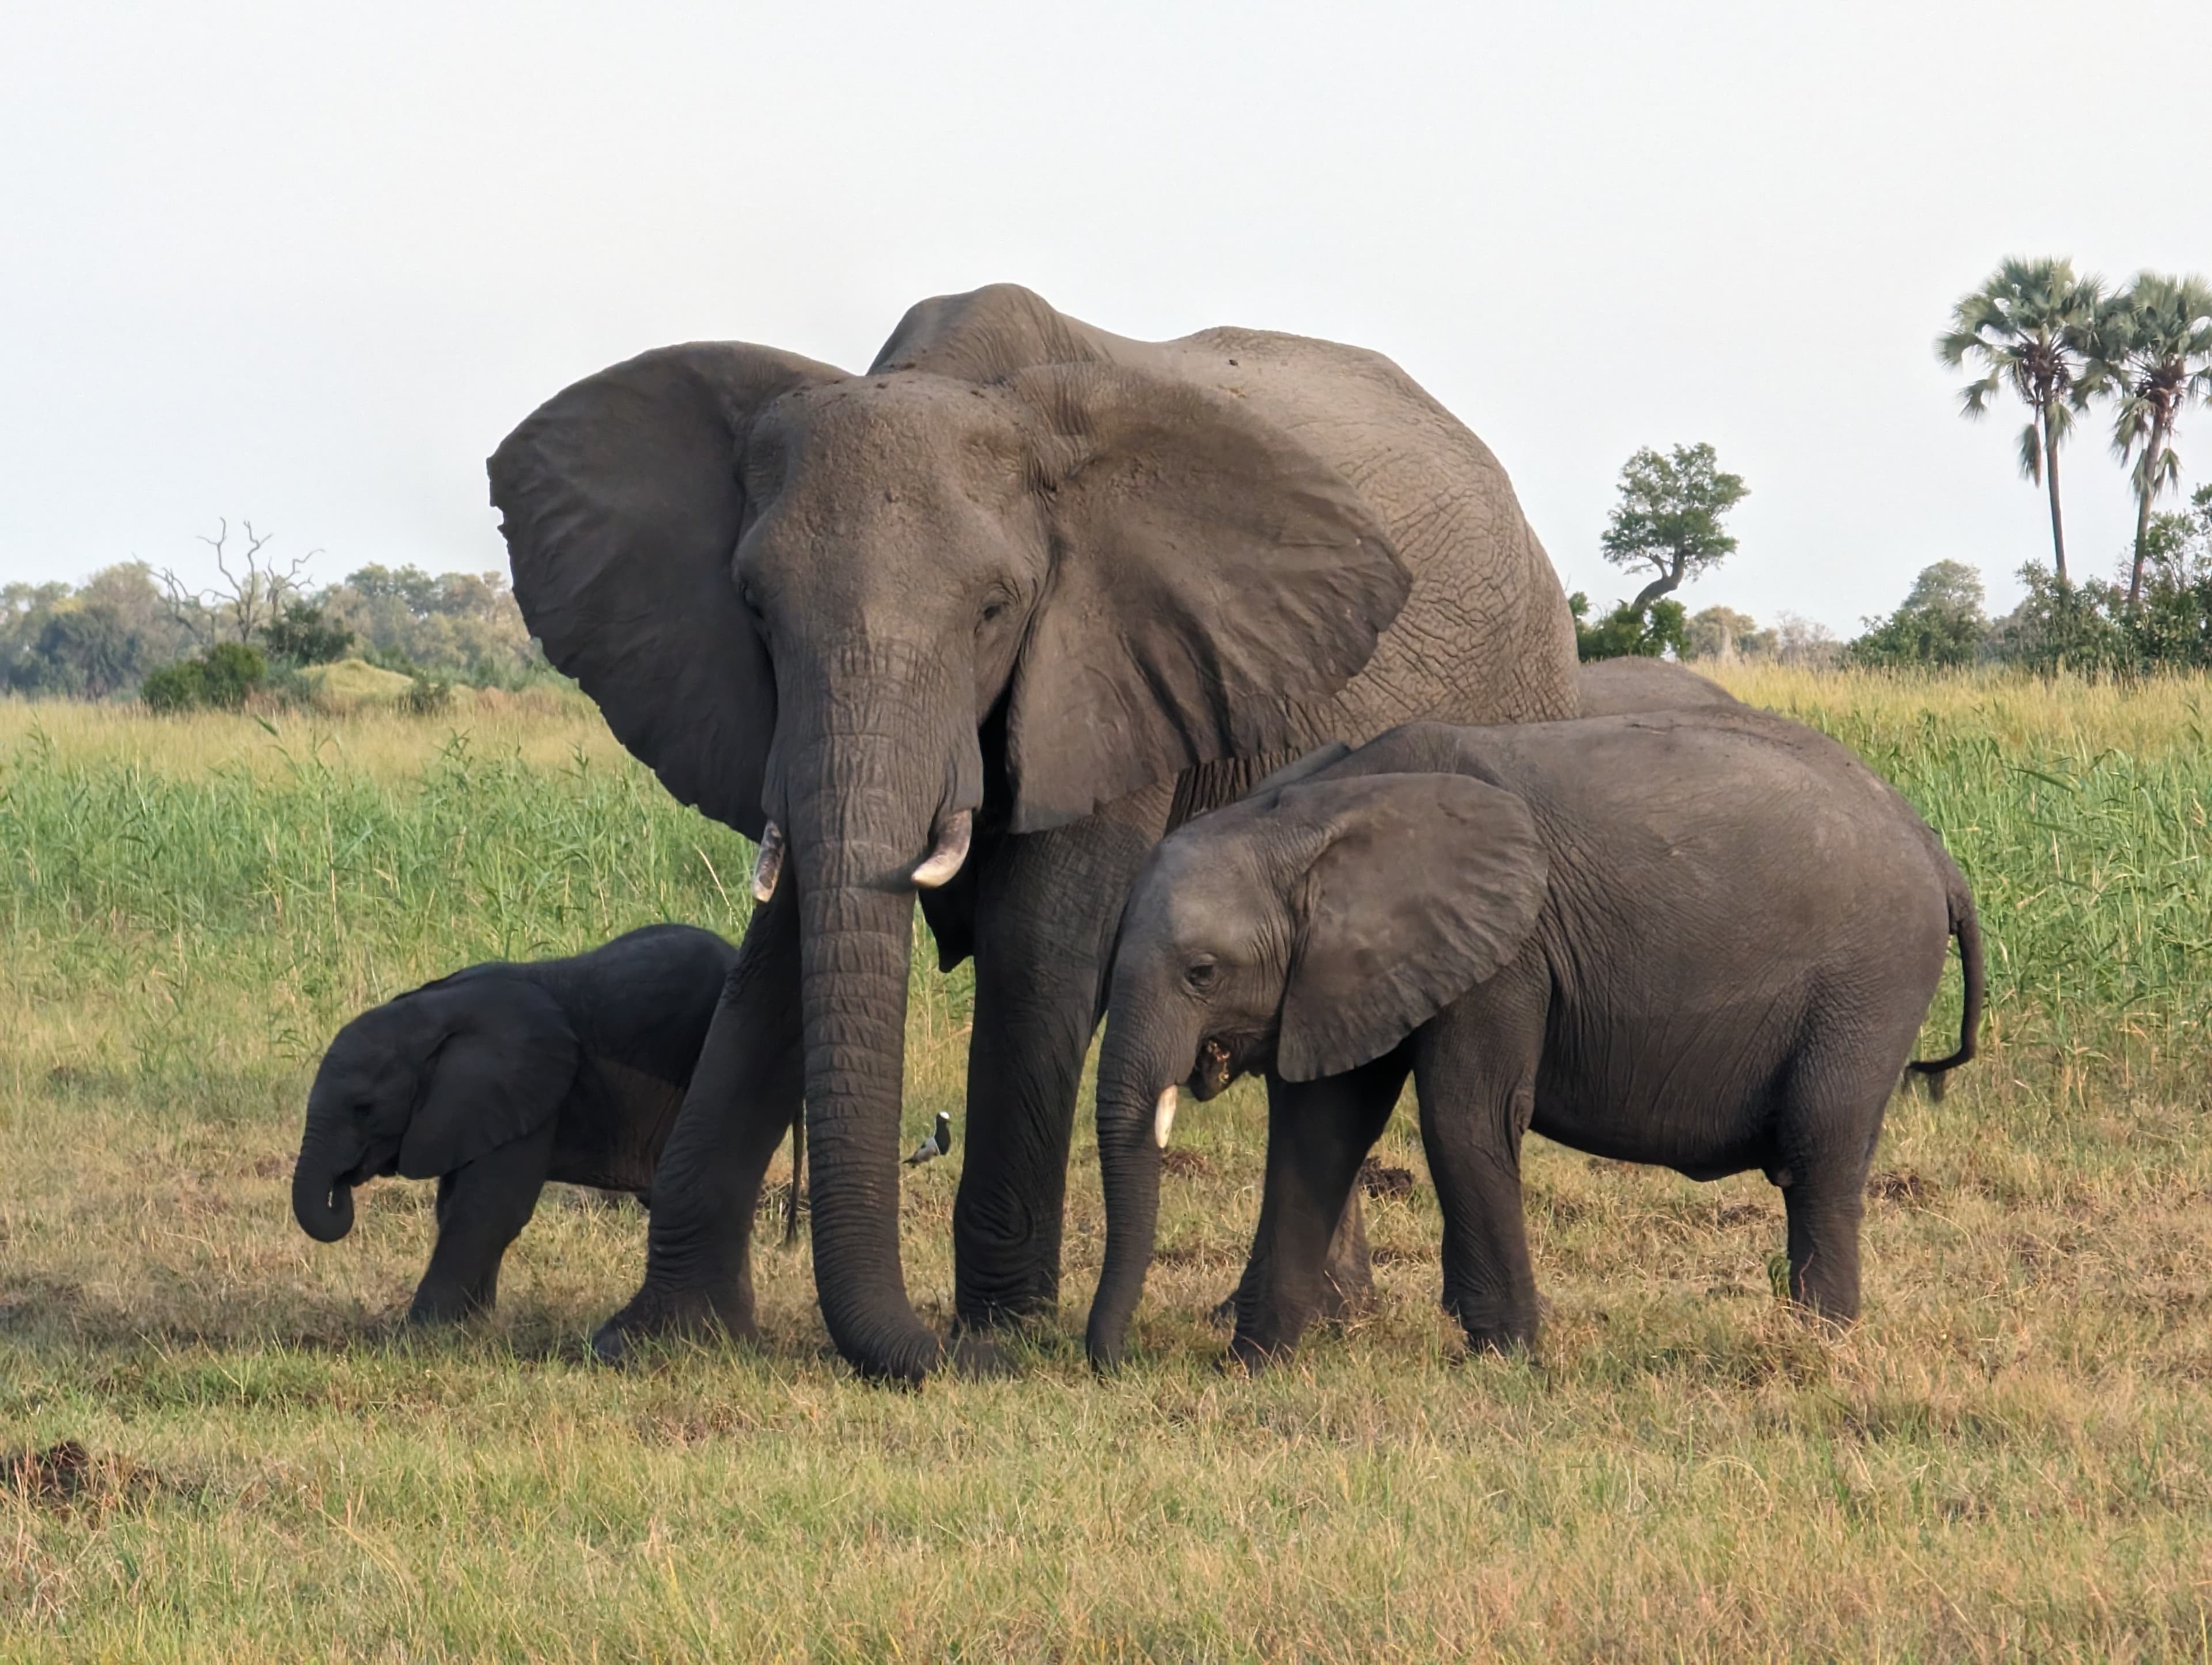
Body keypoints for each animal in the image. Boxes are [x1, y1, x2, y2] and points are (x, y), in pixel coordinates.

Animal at [292, 924, 744, 1323]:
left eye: (364, 1108)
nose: (343, 1182)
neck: (428, 1014)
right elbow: (458, 1204)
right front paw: (472, 1325)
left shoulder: (530, 1093)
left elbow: (489, 1208)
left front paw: (418, 1333)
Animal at [489, 282, 1583, 1381]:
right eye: (754, 607)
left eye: (994, 609)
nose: (939, 1349)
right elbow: (779, 953)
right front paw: (650, 1339)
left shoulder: (1114, 667)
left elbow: (1038, 943)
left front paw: (1001, 1333)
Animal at [1085, 710, 1983, 1370]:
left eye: (1202, 971)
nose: (1113, 1361)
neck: (1313, 811)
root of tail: (1940, 855)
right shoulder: (1345, 969)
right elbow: (1321, 1129)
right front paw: (1254, 1363)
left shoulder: (1504, 952)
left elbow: (1465, 1118)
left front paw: (1506, 1356)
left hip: (1870, 981)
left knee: (1821, 1148)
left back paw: (1819, 1345)